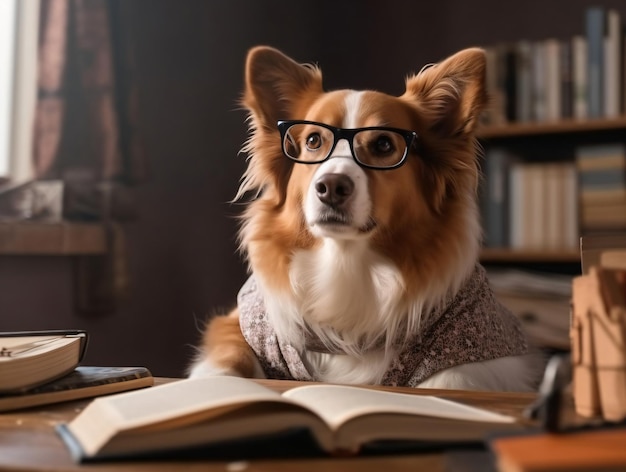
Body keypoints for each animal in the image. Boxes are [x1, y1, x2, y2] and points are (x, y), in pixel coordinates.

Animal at [188, 45, 540, 390]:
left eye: (383, 144)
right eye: (313, 141)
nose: (330, 187)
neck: (345, 263)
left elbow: (451, 382)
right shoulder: (239, 320)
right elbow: (227, 357)